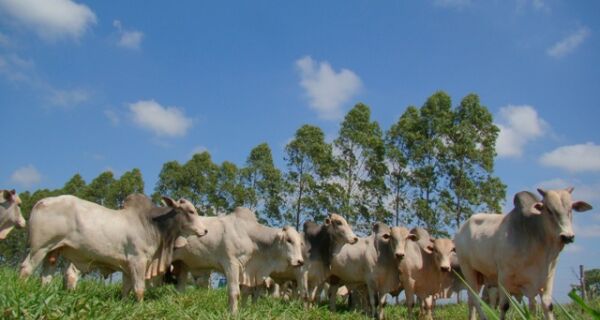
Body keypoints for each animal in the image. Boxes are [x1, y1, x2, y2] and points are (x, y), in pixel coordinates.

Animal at [19, 194, 207, 302]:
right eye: (191, 211)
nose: (204, 230)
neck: (151, 223)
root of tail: (42, 201)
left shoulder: (126, 266)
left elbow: (126, 289)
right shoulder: (138, 261)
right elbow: (139, 289)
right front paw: (140, 307)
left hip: (53, 250)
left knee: (46, 276)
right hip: (39, 248)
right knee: (26, 268)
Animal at [454, 188, 592, 320]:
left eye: (570, 209)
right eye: (549, 210)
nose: (567, 236)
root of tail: (461, 230)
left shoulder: (547, 277)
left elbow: (546, 306)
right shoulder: (504, 276)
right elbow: (504, 306)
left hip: (481, 276)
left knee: (471, 300)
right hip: (468, 269)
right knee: (475, 298)